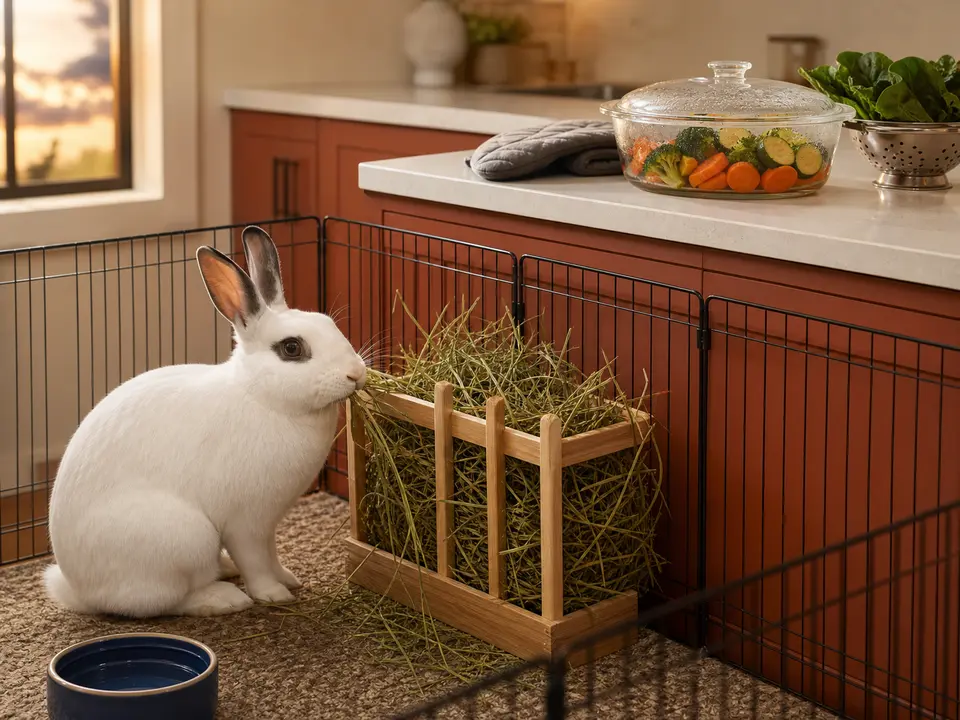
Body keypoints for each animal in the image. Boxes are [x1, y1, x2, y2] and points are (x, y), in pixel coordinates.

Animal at [43, 225, 367, 618]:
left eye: (329, 323)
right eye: (292, 348)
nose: (356, 374)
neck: (263, 398)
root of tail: (76, 589)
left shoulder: (268, 525)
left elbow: (271, 555)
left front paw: (288, 578)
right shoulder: (246, 523)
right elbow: (256, 562)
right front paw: (274, 594)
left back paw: (224, 569)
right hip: (186, 538)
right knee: (166, 601)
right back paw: (225, 598)